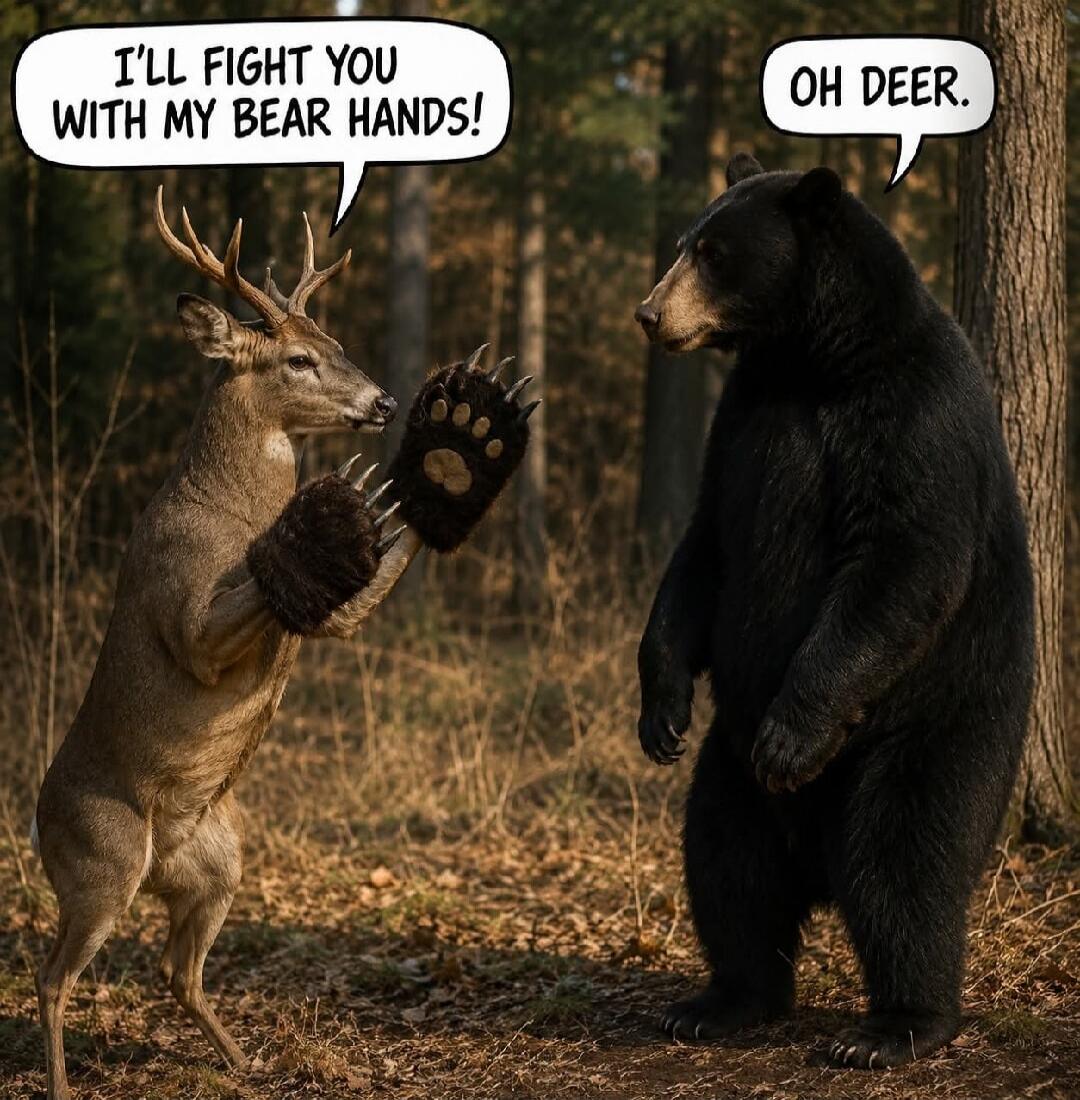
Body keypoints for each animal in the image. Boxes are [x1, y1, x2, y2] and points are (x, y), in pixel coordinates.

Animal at [32, 188, 535, 1100]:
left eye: (335, 342)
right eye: (298, 359)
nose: (384, 403)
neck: (228, 508)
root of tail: (31, 821)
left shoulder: (325, 618)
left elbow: (358, 583)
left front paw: (458, 448)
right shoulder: (181, 612)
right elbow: (238, 601)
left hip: (218, 859)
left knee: (175, 970)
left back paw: (247, 1062)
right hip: (99, 860)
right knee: (52, 978)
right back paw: (62, 1086)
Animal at [634, 153, 1034, 1068]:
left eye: (712, 251)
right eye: (685, 243)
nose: (649, 313)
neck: (812, 359)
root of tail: (812, 860)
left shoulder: (912, 416)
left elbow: (901, 562)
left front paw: (790, 734)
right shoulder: (744, 421)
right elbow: (706, 548)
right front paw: (660, 710)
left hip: (930, 731)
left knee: (905, 863)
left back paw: (896, 1025)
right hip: (728, 767)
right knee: (726, 866)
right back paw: (720, 999)